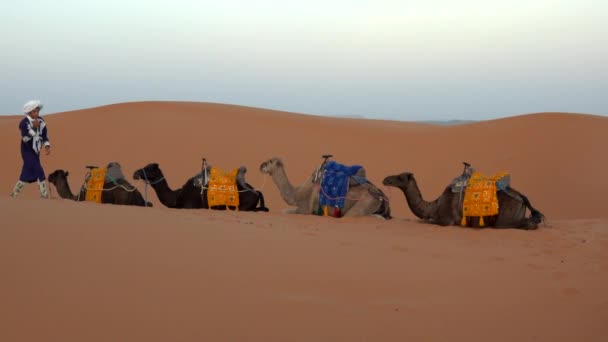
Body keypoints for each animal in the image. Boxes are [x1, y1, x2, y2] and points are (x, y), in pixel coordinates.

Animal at [258, 157, 392, 219]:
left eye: (269, 162)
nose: (260, 165)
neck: (296, 195)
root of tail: (382, 196)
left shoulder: (305, 210)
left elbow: (284, 211)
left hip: (364, 204)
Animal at [382, 171, 544, 230]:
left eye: (400, 177)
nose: (385, 179)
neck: (434, 206)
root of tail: (522, 197)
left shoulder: (446, 220)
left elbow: (426, 221)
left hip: (503, 218)